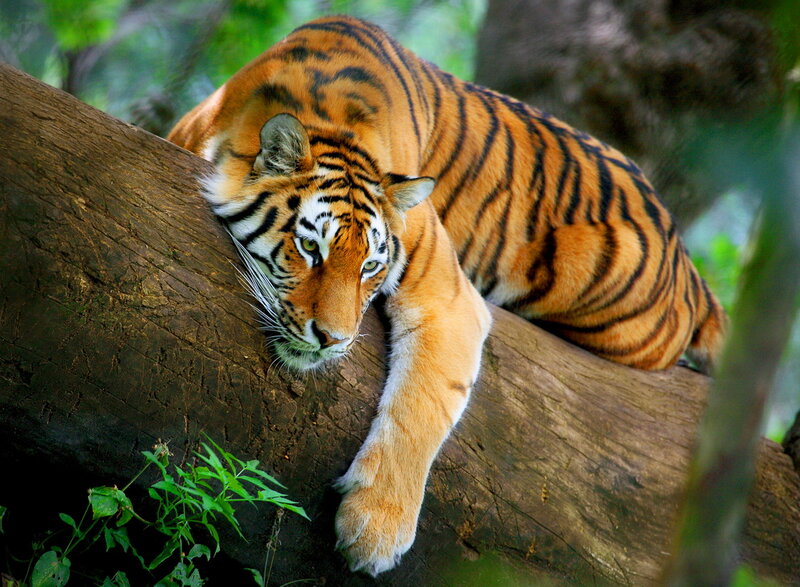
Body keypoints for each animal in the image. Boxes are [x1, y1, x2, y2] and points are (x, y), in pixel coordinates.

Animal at [167, 15, 726, 576]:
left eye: (370, 266)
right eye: (310, 248)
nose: (332, 340)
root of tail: (684, 256)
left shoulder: (449, 297)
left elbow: (423, 406)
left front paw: (376, 531)